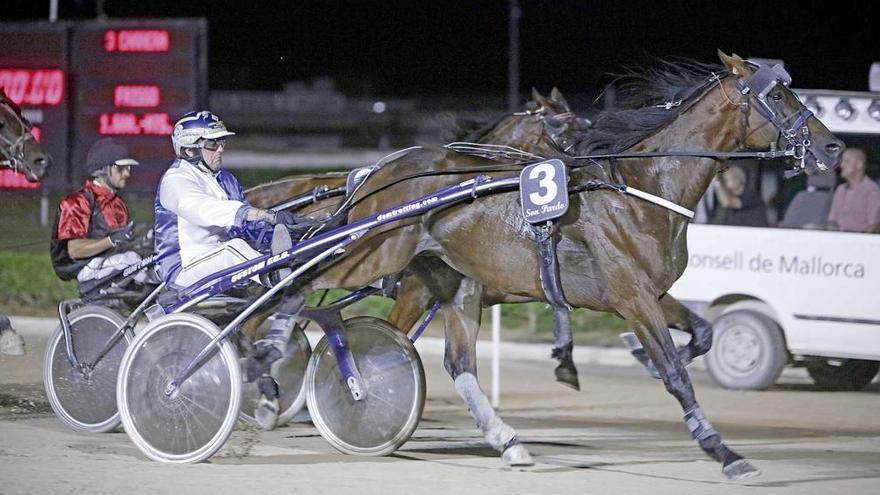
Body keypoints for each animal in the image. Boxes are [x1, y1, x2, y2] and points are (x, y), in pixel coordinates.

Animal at [294, 52, 844, 478]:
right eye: (780, 97)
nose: (832, 146)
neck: (642, 189)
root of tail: (376, 174)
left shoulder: (650, 293)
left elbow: (702, 335)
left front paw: (622, 357)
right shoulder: (633, 297)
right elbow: (675, 373)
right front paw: (723, 451)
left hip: (454, 283)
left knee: (455, 362)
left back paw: (506, 440)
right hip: (397, 272)